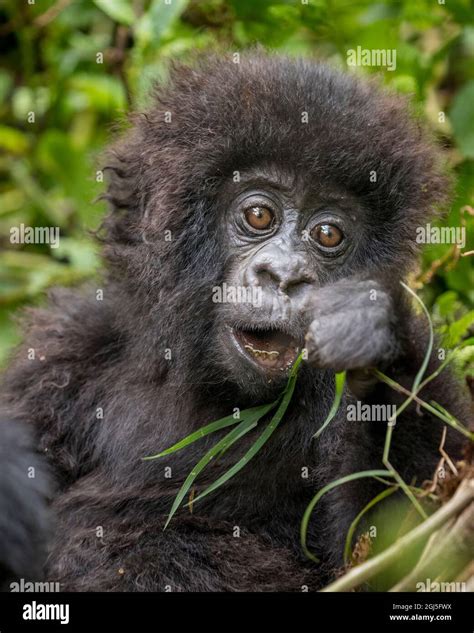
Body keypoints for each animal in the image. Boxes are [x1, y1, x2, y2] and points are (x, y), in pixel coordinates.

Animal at [0, 51, 470, 592]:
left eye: (328, 234)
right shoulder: (61, 353)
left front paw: (380, 335)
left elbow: (399, 550)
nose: (285, 275)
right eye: (259, 215)